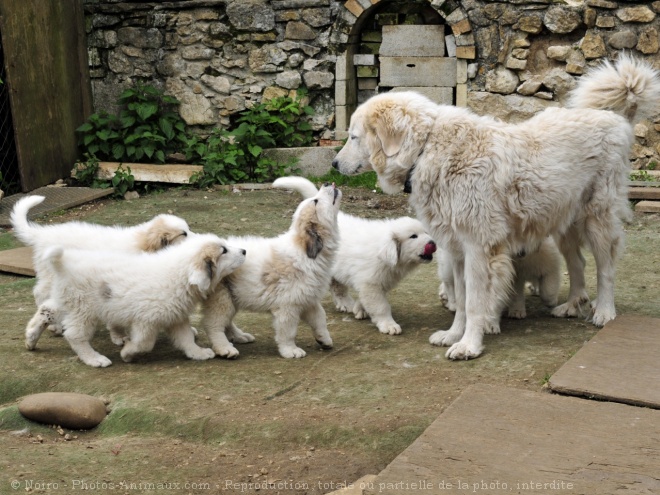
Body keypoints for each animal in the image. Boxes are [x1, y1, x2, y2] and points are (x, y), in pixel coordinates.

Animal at [37, 233, 246, 368]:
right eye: (224, 251)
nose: (244, 251)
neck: (179, 275)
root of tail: (64, 264)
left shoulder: (175, 316)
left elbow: (185, 338)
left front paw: (198, 353)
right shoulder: (146, 320)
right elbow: (144, 343)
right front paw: (127, 353)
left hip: (66, 302)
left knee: (46, 310)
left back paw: (32, 338)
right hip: (84, 310)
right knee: (75, 335)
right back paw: (94, 359)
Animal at [202, 184, 342, 358]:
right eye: (315, 201)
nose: (328, 183)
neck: (305, 253)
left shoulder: (307, 298)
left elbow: (320, 317)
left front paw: (324, 339)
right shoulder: (287, 306)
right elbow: (288, 331)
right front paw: (290, 350)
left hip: (233, 297)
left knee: (226, 322)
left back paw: (239, 336)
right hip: (221, 299)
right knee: (214, 325)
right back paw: (225, 348)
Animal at [270, 176, 436, 336]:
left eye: (425, 232)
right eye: (413, 236)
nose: (432, 243)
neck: (387, 252)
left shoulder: (377, 281)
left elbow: (368, 299)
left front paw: (360, 308)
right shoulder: (370, 282)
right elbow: (380, 306)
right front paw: (388, 325)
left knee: (337, 287)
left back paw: (346, 304)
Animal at [332, 55, 660, 360]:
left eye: (354, 137)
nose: (333, 164)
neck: (426, 150)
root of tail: (613, 116)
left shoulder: (478, 247)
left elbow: (476, 302)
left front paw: (469, 345)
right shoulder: (458, 250)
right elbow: (461, 302)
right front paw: (454, 335)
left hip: (597, 218)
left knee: (606, 268)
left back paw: (604, 312)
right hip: (562, 220)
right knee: (577, 262)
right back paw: (572, 304)